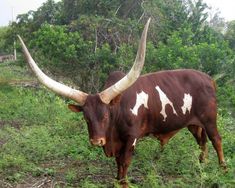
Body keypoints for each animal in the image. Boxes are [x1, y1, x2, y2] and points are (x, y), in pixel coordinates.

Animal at [18, 18, 226, 188]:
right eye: (86, 118)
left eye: (106, 116)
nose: (97, 141)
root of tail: (208, 79)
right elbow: (118, 165)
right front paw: (117, 181)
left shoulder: (131, 138)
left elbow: (124, 163)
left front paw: (124, 183)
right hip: (193, 123)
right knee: (201, 141)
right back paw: (202, 165)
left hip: (209, 119)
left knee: (216, 140)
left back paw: (222, 169)